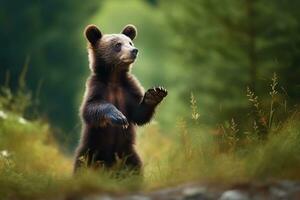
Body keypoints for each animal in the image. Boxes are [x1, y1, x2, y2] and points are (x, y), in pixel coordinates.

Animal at [73, 23, 168, 173]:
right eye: (118, 44)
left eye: (130, 42)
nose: (134, 50)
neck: (114, 78)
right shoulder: (97, 87)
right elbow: (91, 108)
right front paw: (118, 117)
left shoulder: (129, 89)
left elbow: (139, 114)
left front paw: (155, 93)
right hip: (90, 153)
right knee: (81, 167)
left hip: (128, 156)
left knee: (135, 169)